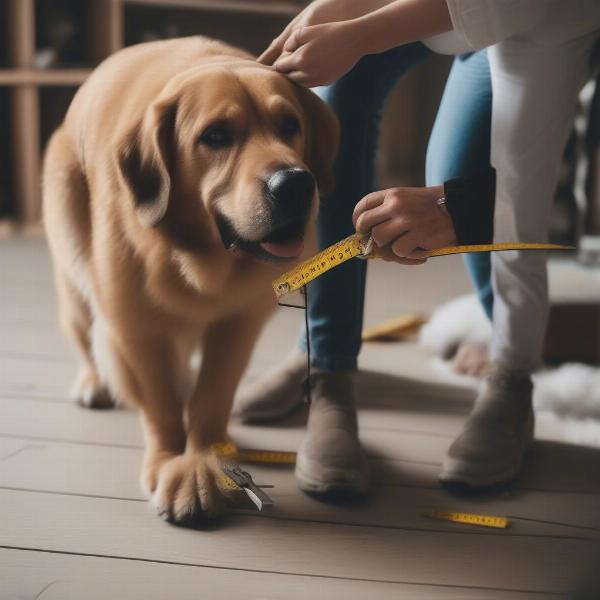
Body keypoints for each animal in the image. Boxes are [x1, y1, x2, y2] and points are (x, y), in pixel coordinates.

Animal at [43, 37, 338, 524]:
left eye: (290, 125)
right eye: (215, 136)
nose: (295, 184)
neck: (200, 258)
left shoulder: (237, 325)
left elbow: (211, 397)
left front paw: (205, 461)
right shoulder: (136, 329)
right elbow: (161, 405)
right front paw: (169, 461)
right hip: (75, 274)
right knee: (85, 335)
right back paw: (94, 383)